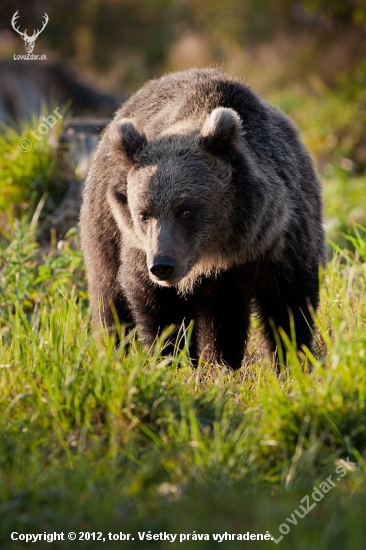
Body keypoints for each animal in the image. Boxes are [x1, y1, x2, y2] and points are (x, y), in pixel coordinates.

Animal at [81, 69, 326, 370]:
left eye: (185, 209)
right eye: (144, 214)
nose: (162, 266)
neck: (218, 248)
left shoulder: (279, 237)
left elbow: (288, 304)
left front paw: (293, 361)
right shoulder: (140, 248)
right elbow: (158, 308)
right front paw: (173, 361)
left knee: (224, 315)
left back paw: (222, 361)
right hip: (104, 226)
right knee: (108, 294)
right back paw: (115, 355)